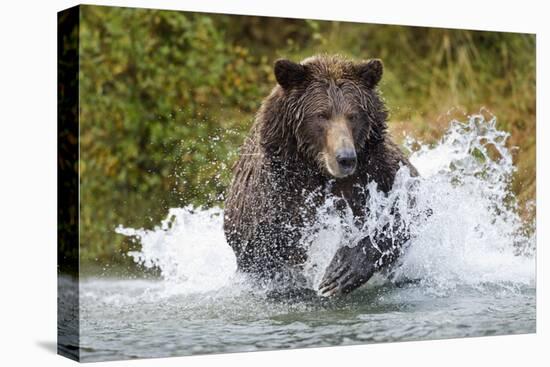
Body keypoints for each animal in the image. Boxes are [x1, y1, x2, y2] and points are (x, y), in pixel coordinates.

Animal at [224, 54, 418, 296]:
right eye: (321, 115)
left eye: (353, 115)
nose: (345, 158)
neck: (318, 170)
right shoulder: (274, 193)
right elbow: (270, 245)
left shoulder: (378, 171)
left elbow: (406, 210)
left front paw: (341, 271)